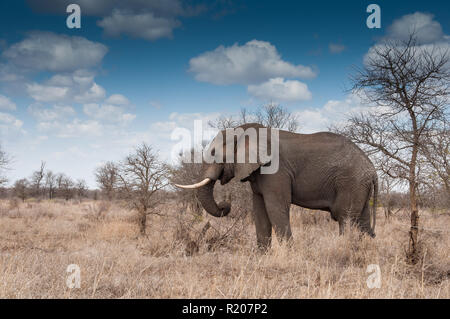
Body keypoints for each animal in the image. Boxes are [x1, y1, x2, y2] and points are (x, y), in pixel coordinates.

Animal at [174, 124, 378, 251]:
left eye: (215, 153)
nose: (225, 204)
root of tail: (372, 170)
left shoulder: (276, 170)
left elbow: (275, 207)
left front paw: (290, 254)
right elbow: (260, 210)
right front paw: (261, 256)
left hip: (350, 182)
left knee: (345, 218)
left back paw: (344, 249)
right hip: (359, 186)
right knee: (362, 220)